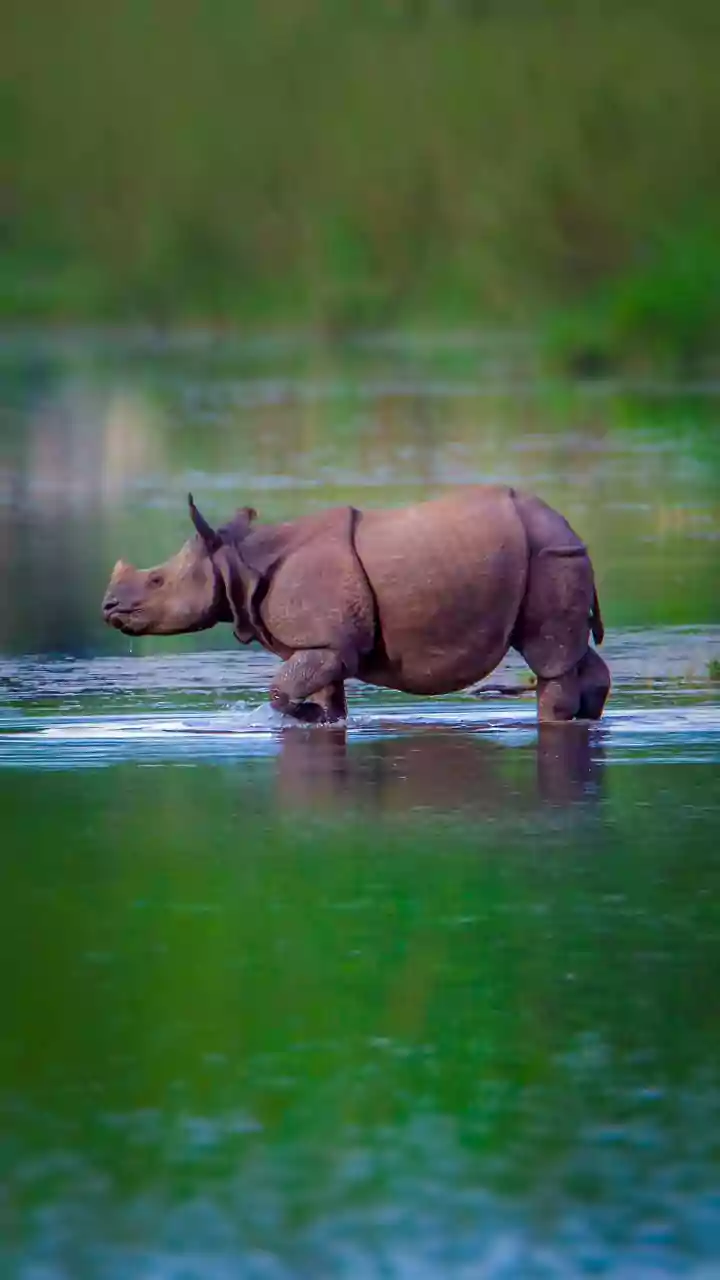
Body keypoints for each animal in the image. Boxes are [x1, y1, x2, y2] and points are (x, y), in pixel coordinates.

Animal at [102, 487, 611, 723]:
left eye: (156, 580)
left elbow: (281, 691)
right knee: (571, 653)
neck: (237, 562)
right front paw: (321, 718)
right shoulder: (319, 641)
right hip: (555, 553)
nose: (108, 607)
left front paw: (301, 716)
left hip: (546, 554)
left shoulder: (326, 643)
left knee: (548, 655)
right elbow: (323, 693)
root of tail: (568, 527)